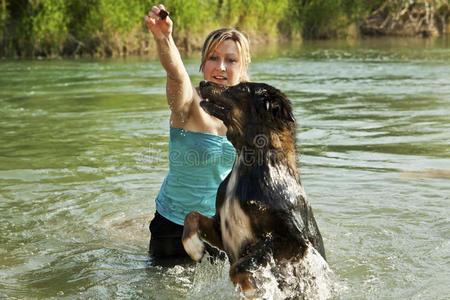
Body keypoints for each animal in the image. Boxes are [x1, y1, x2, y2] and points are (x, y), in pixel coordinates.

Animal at [183, 80, 326, 296]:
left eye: (241, 88)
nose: (203, 82)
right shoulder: (222, 227)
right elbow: (191, 216)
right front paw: (195, 248)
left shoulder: (294, 241)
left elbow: (241, 265)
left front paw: (251, 288)